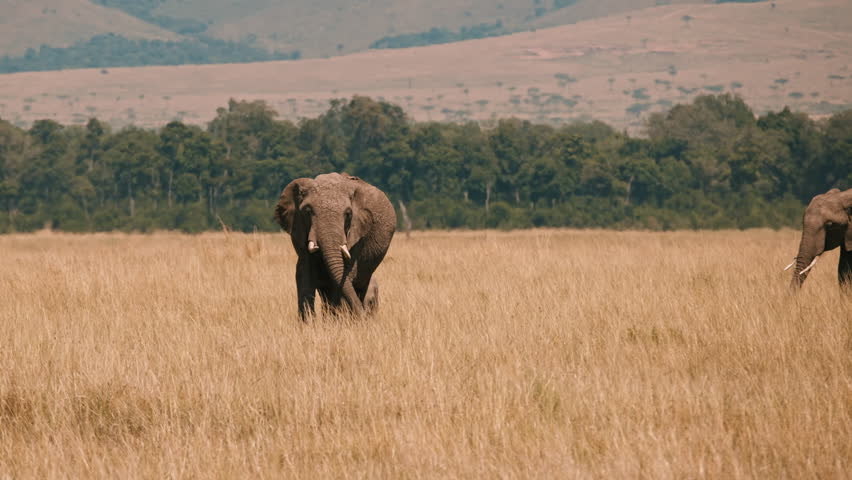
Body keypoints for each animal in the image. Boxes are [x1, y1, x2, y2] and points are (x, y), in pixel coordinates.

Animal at [274, 173, 396, 320]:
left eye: (348, 214)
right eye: (308, 211)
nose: (362, 315)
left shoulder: (357, 234)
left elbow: (345, 275)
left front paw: (341, 320)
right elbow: (304, 274)